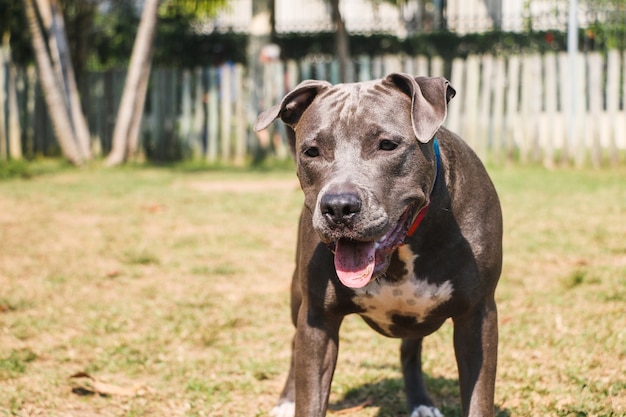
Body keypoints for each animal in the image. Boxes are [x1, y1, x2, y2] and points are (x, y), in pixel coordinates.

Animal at [254, 74, 502, 416]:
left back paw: (421, 402)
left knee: (410, 350)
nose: (338, 207)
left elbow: (478, 398)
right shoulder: (317, 319)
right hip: (297, 296)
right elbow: (310, 397)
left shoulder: (477, 316)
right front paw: (296, 399)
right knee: (294, 343)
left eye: (387, 145)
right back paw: (286, 400)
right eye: (312, 151)